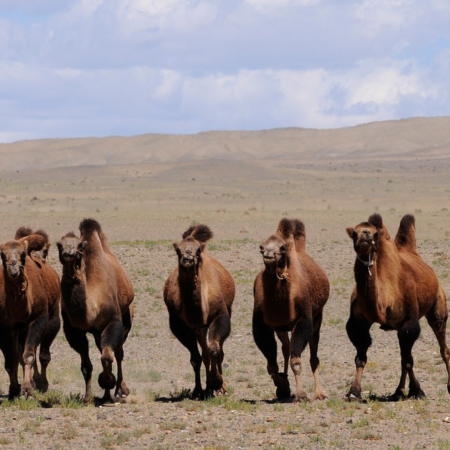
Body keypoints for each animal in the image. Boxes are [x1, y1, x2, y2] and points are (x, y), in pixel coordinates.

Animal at [0, 229, 60, 398]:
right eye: (2, 254)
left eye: (22, 254)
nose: (13, 269)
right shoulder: (6, 327)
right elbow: (11, 360)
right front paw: (14, 389)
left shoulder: (38, 320)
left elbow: (29, 355)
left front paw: (28, 388)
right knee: (18, 354)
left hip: (52, 319)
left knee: (41, 353)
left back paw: (40, 382)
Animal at [56, 219, 134, 404]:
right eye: (58, 244)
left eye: (80, 245)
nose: (68, 253)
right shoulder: (74, 330)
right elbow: (86, 366)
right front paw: (87, 397)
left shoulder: (113, 321)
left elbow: (107, 358)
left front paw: (107, 381)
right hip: (98, 333)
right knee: (104, 350)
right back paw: (107, 394)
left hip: (126, 319)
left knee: (118, 354)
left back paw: (120, 391)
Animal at [164, 224, 236, 398]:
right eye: (178, 250)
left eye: (197, 251)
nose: (188, 258)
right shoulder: (180, 324)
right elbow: (196, 358)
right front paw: (198, 390)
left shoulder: (220, 315)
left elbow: (215, 350)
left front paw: (217, 383)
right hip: (199, 329)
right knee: (203, 353)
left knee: (216, 350)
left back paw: (221, 386)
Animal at [253, 217, 330, 400]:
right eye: (261, 247)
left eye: (282, 248)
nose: (268, 254)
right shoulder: (264, 324)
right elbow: (271, 366)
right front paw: (282, 386)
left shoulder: (304, 319)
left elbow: (296, 360)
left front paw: (301, 394)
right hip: (282, 328)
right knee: (285, 348)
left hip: (317, 318)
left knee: (313, 355)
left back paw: (319, 393)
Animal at [344, 213, 450, 400]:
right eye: (354, 233)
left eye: (374, 234)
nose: (365, 235)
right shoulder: (358, 323)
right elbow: (361, 357)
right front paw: (354, 392)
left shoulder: (409, 319)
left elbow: (408, 359)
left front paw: (417, 390)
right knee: (404, 355)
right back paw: (398, 391)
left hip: (438, 306)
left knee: (443, 347)